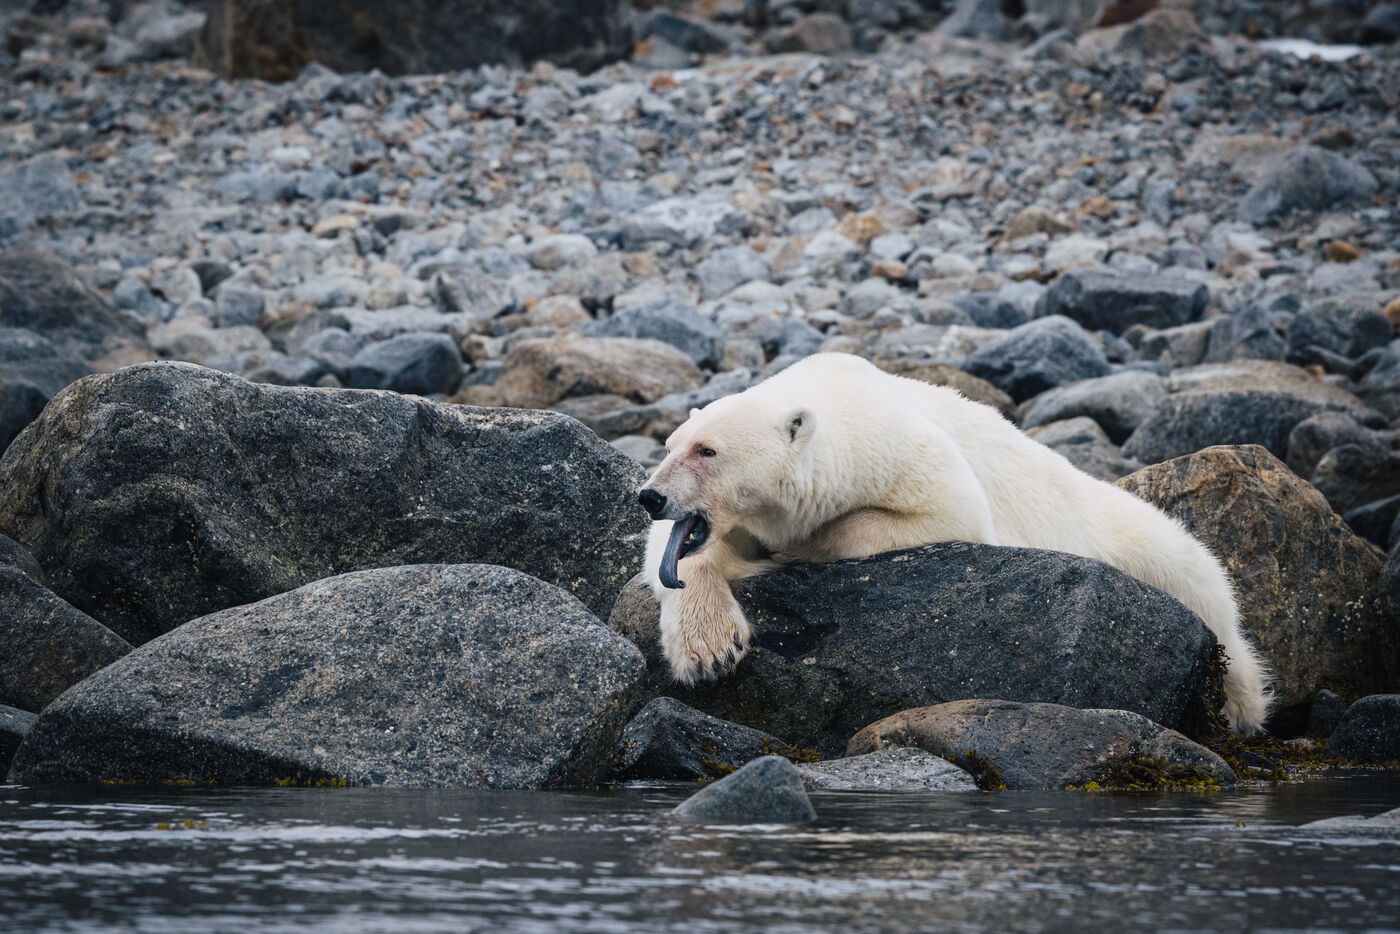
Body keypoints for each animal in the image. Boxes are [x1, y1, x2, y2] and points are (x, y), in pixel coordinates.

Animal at [638, 352, 1271, 735]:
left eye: (708, 450)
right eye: (670, 445)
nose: (649, 495)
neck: (836, 397)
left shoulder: (900, 450)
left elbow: (949, 513)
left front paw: (788, 552)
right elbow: (672, 556)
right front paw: (709, 648)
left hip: (1138, 537)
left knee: (1201, 586)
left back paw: (1240, 700)